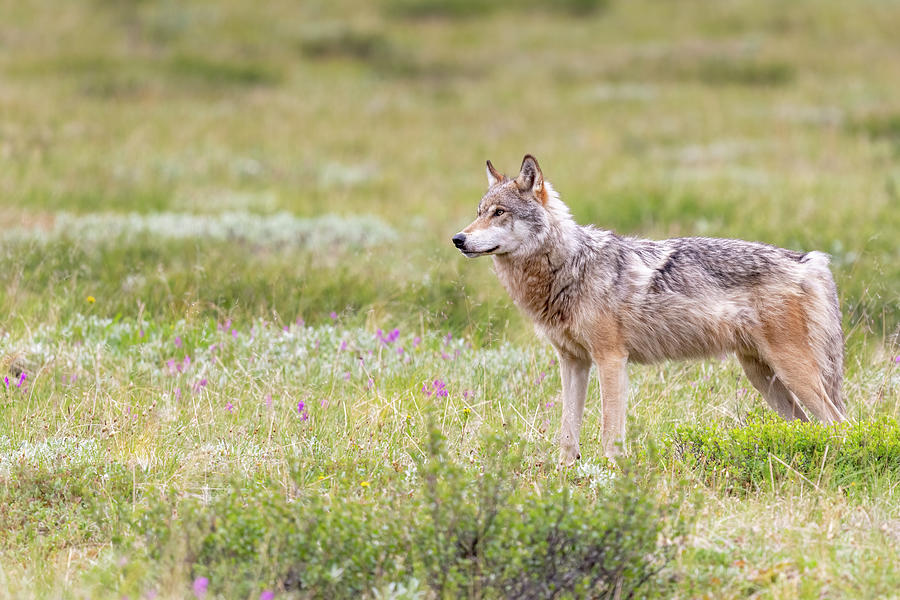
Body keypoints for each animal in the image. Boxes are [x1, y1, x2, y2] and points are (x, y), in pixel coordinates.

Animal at [454, 155, 848, 464]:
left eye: (499, 213)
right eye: (478, 213)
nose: (458, 239)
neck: (570, 267)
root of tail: (809, 261)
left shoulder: (611, 359)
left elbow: (609, 432)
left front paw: (612, 476)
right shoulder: (573, 361)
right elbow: (567, 434)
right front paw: (566, 475)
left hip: (793, 372)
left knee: (838, 423)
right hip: (763, 376)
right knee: (809, 425)